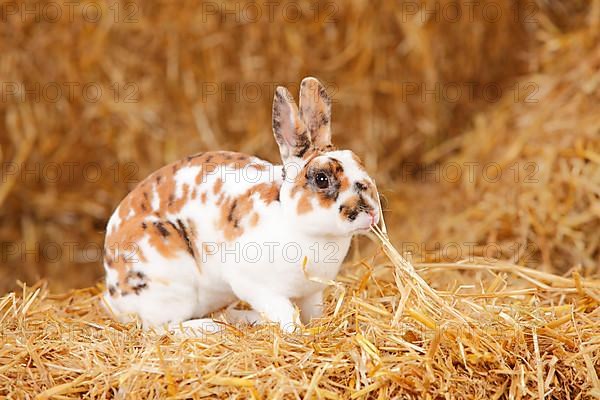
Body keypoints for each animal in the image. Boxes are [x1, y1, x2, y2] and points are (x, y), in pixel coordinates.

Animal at [102, 76, 380, 332]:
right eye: (322, 178)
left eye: (357, 160)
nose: (371, 213)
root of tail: (113, 289)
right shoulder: (256, 286)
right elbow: (286, 313)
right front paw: (297, 334)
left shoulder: (311, 293)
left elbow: (313, 312)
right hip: (170, 283)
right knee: (162, 328)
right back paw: (210, 328)